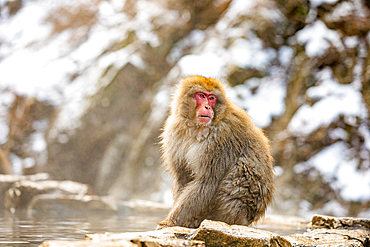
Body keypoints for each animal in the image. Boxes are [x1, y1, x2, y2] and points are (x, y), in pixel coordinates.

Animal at [159, 75, 274, 228]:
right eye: (201, 96)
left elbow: (207, 182)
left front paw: (171, 221)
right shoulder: (173, 131)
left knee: (240, 169)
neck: (197, 128)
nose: (207, 107)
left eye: (212, 98)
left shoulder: (222, 137)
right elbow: (182, 176)